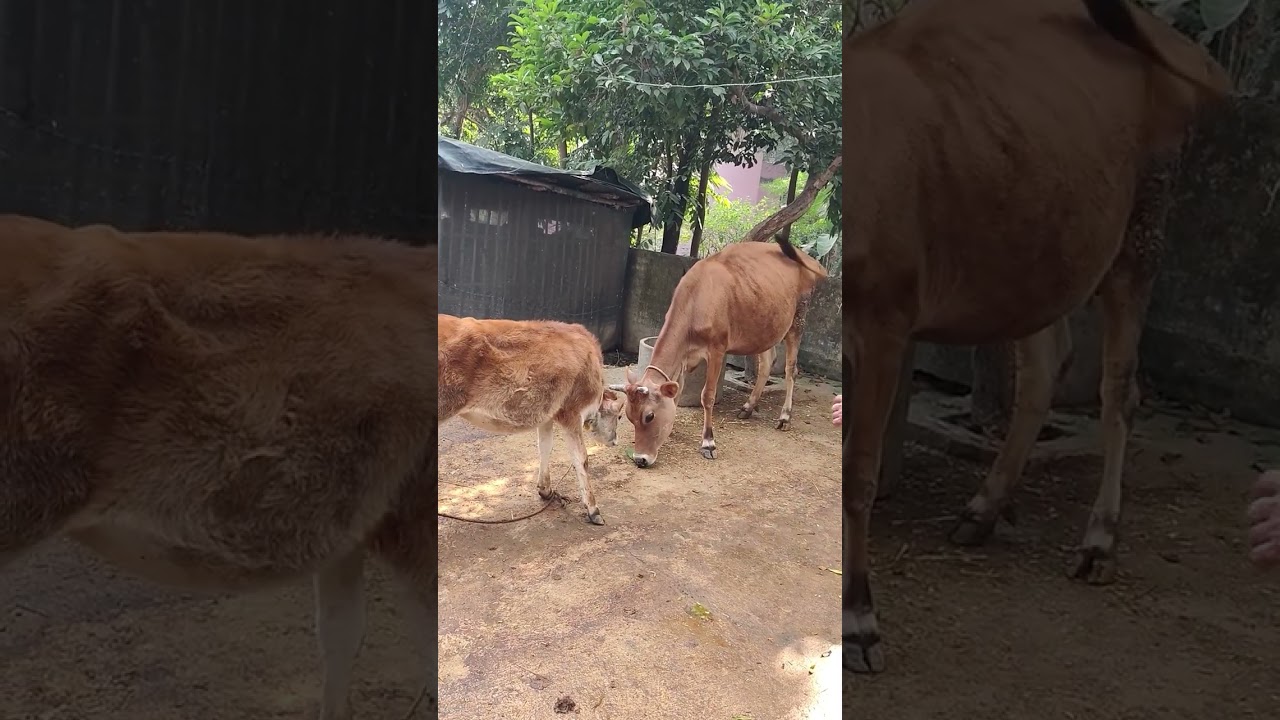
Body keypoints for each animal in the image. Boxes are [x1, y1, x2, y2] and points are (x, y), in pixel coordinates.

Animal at [437, 314, 626, 525]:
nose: (615, 441)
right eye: (619, 416)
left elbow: (544, 447)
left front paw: (546, 491)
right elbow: (581, 459)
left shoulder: (547, 415)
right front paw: (593, 510)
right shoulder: (571, 412)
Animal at [614, 236, 828, 468]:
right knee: (766, 363)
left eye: (649, 416)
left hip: (798, 318)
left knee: (791, 369)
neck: (695, 301)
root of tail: (807, 257)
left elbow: (707, 395)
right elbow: (678, 391)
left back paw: (785, 417)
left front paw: (708, 442)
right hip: (766, 326)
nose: (640, 459)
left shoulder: (717, 349)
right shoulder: (686, 356)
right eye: (628, 416)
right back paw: (748, 407)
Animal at [842, 0, 1232, 673]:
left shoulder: (884, 321)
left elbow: (859, 474)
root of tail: (1170, 37)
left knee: (1120, 389)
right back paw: (983, 509)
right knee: (1045, 369)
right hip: (1038, 254)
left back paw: (1099, 542)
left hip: (1142, 232)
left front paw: (861, 620)